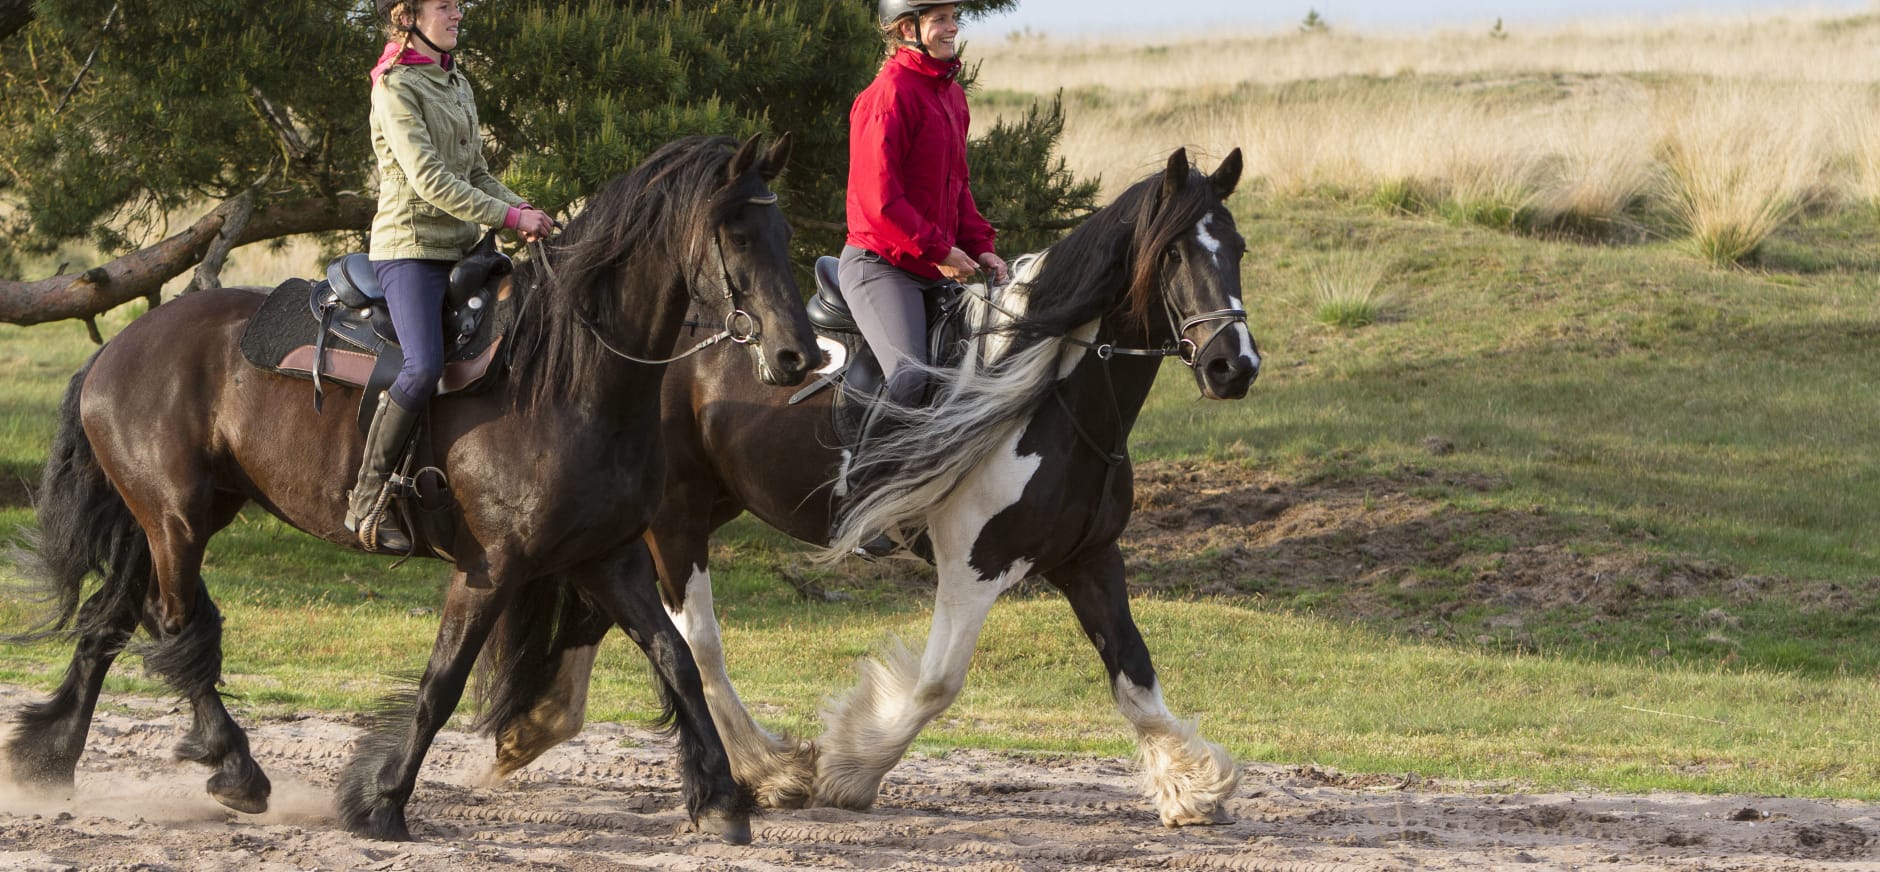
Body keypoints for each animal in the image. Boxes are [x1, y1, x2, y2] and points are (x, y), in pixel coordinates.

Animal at [5, 134, 815, 838]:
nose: (795, 355)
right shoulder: (493, 567)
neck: (565, 378)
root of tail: (117, 347)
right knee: (173, 625)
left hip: (181, 517)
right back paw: (235, 772)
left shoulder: (606, 557)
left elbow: (677, 661)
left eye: (777, 231)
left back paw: (48, 759)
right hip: (175, 519)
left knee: (113, 620)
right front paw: (381, 802)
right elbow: (442, 683)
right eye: (737, 233)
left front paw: (723, 800)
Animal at [470, 148, 1263, 823]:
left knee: (602, 611)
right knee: (698, 643)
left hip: (706, 502)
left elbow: (1134, 674)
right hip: (677, 515)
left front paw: (1191, 787)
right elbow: (937, 683)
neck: (1048, 396)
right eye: (1173, 253)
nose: (1235, 366)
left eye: (1238, 249)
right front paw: (849, 769)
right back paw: (769, 769)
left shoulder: (1089, 557)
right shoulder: (975, 564)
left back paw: (535, 727)